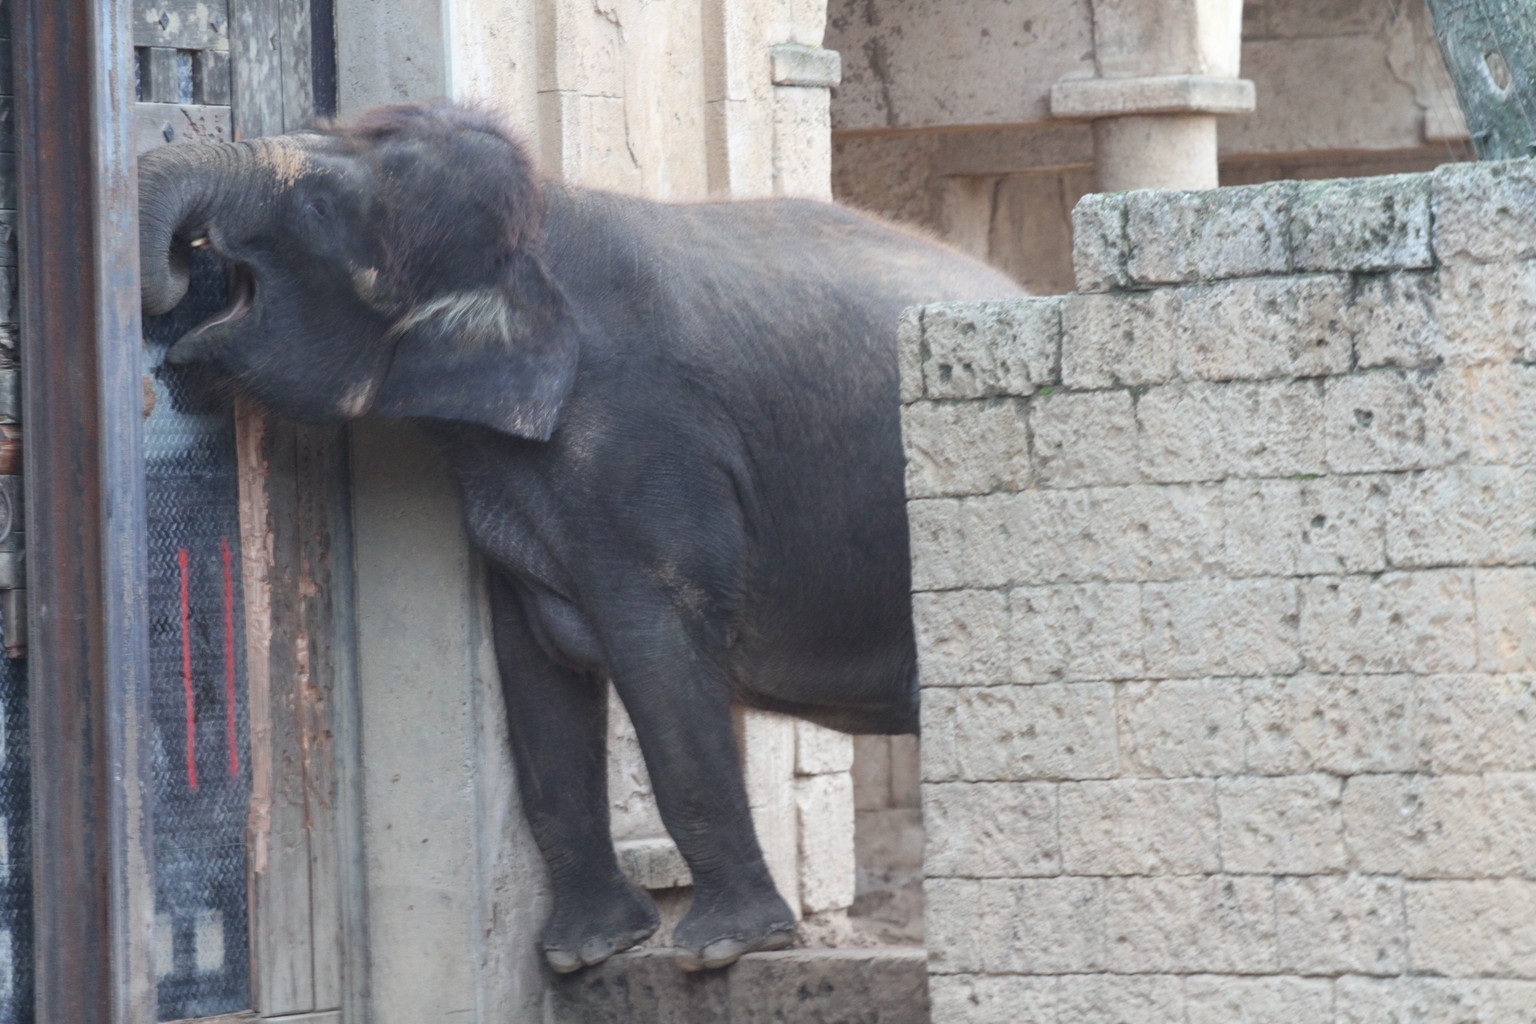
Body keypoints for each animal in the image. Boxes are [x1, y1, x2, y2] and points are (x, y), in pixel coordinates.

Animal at [138, 102, 1024, 973]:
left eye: (319, 211)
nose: (177, 273)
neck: (544, 224)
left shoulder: (650, 443)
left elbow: (656, 651)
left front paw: (725, 946)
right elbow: (536, 674)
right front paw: (589, 951)